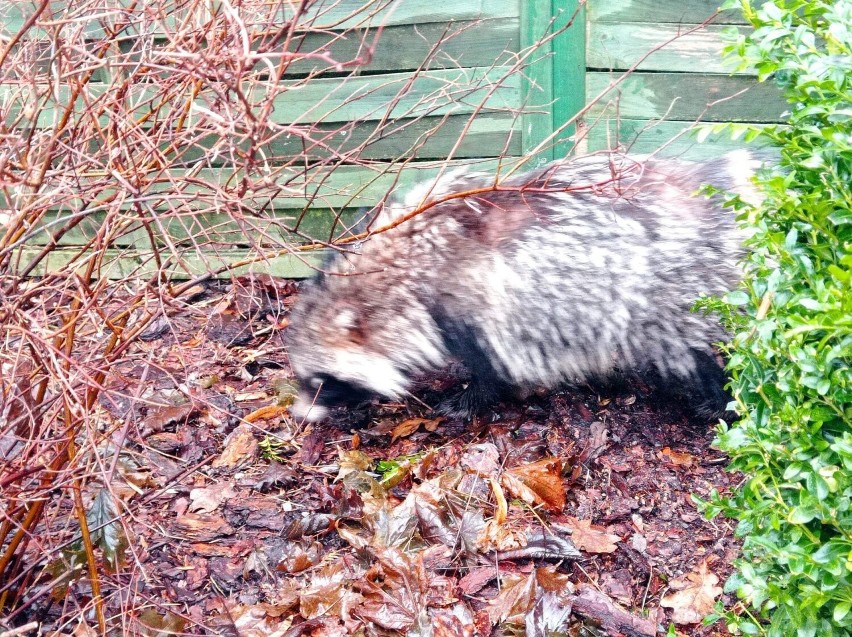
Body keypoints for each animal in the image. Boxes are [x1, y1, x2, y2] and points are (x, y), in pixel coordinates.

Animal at [286, 150, 760, 422]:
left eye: (321, 381)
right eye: (304, 377)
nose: (300, 414)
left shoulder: (473, 303)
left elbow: (491, 366)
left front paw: (467, 401)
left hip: (669, 287)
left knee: (689, 346)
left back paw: (717, 399)